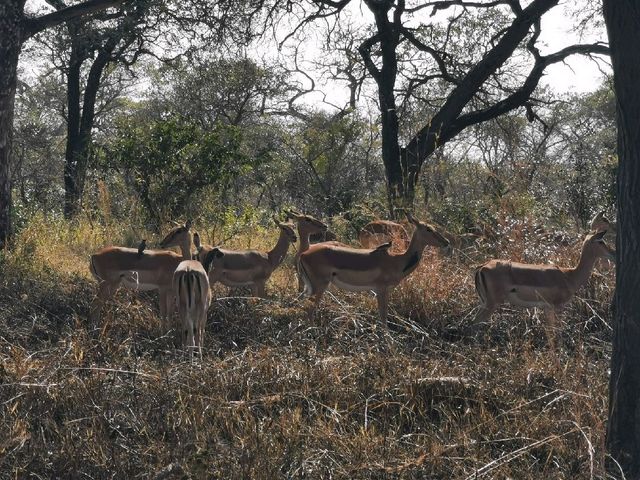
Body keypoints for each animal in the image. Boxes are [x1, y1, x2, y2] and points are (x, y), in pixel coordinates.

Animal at [298, 213, 448, 330]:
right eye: (428, 229)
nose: (446, 242)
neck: (397, 260)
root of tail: (303, 255)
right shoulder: (381, 290)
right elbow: (383, 317)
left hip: (310, 287)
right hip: (320, 286)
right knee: (309, 310)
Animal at [476, 229, 616, 348]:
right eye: (601, 241)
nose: (613, 253)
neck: (569, 276)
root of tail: (482, 266)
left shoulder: (547, 308)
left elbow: (550, 333)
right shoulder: (558, 307)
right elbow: (557, 331)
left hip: (485, 302)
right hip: (492, 303)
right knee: (475, 322)